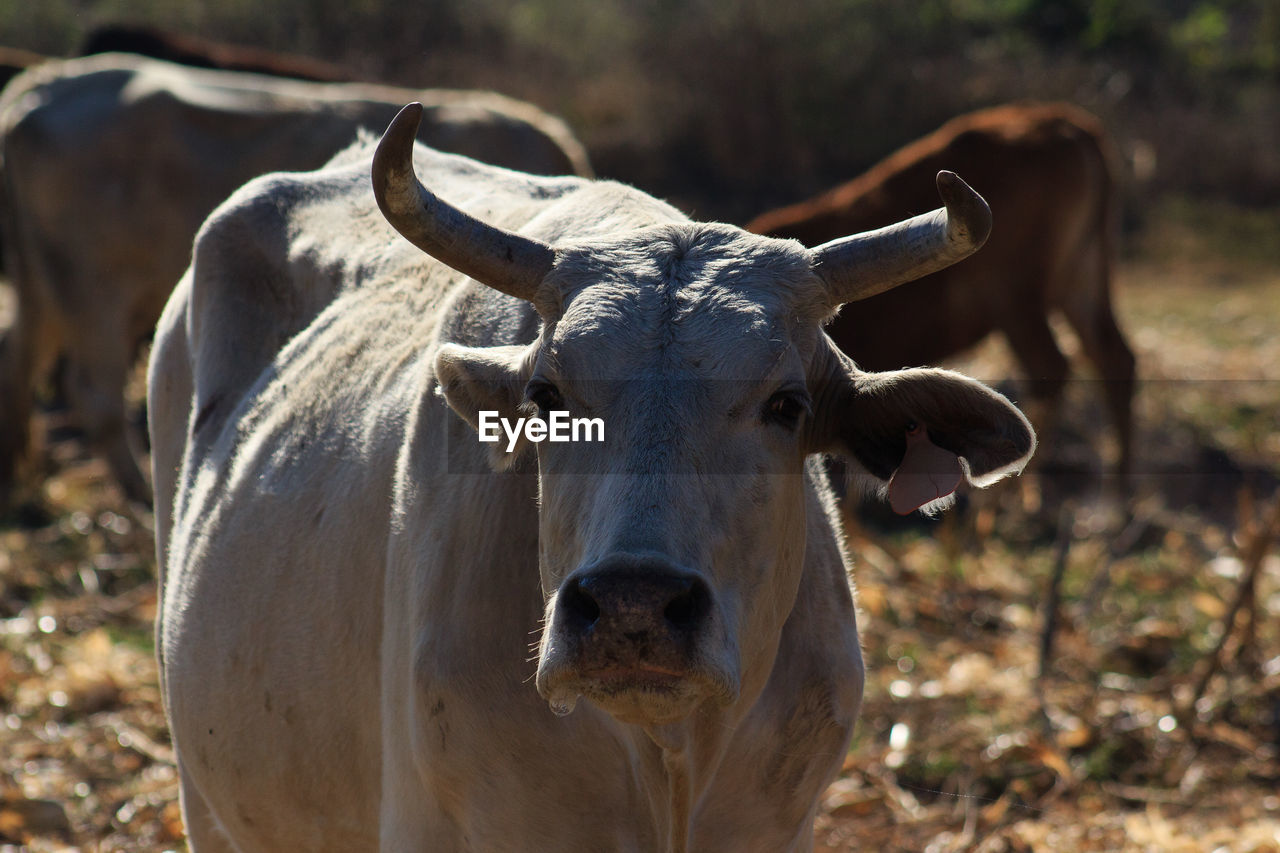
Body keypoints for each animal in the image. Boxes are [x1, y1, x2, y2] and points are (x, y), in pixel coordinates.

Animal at [0, 53, 588, 504]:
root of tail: (40, 89)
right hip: (91, 292)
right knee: (94, 393)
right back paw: (139, 495)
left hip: (46, 288)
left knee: (22, 361)